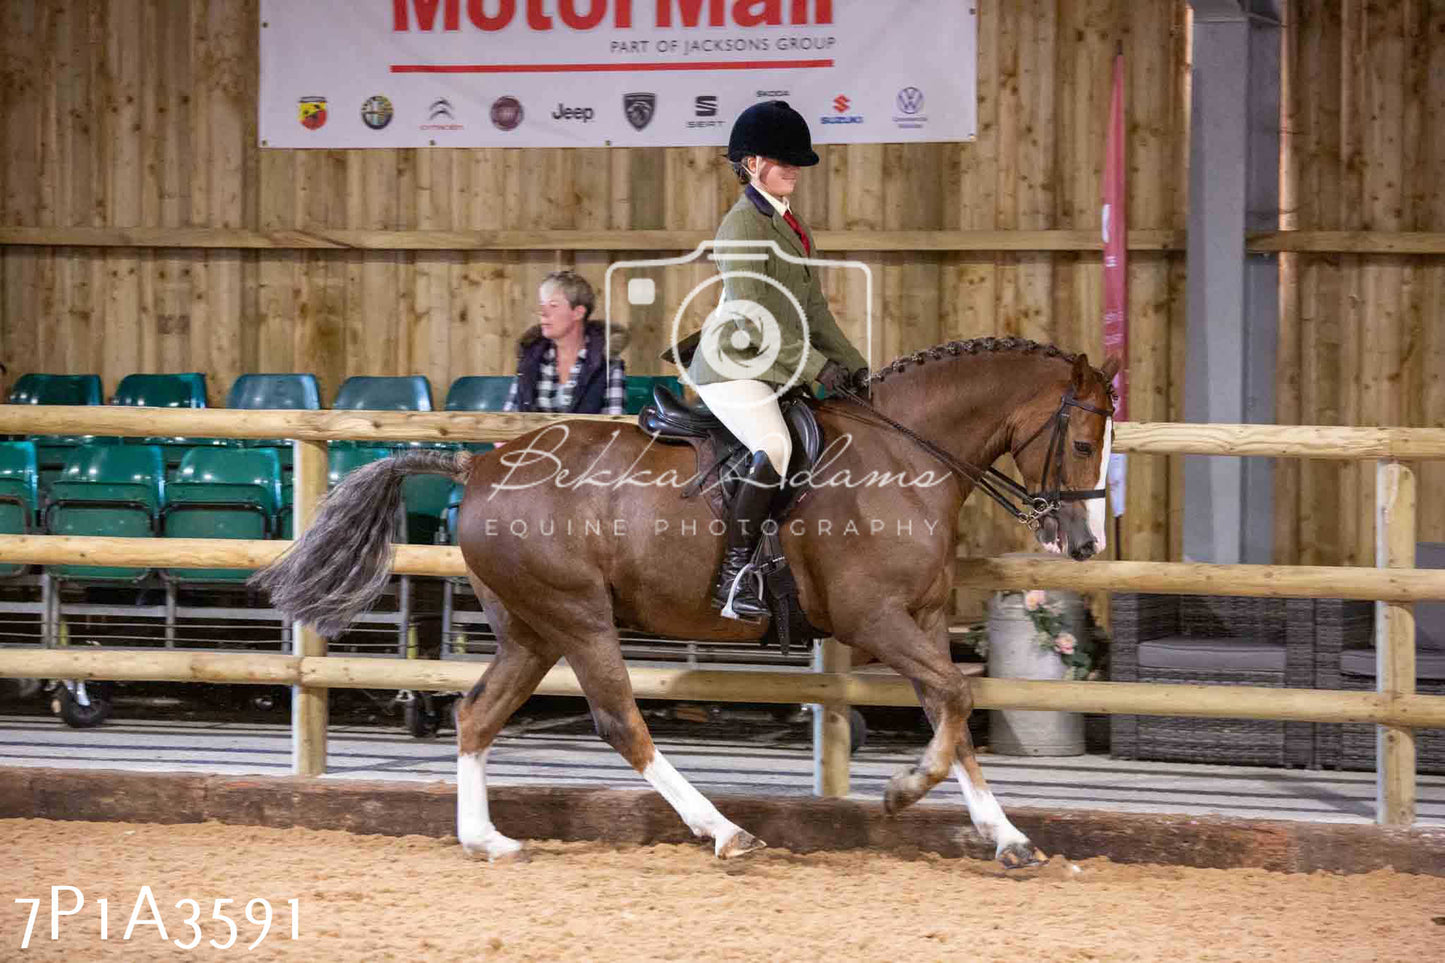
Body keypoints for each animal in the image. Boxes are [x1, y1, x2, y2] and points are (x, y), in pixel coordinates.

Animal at [257, 339, 1115, 867]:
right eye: (1080, 442)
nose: (1082, 545)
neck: (903, 456)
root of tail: (479, 466)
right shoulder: (875, 618)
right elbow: (955, 701)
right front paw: (903, 788)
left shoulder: (926, 620)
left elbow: (954, 712)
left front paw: (1004, 836)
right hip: (578, 616)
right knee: (619, 721)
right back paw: (723, 830)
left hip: (531, 629)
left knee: (476, 714)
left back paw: (487, 840)